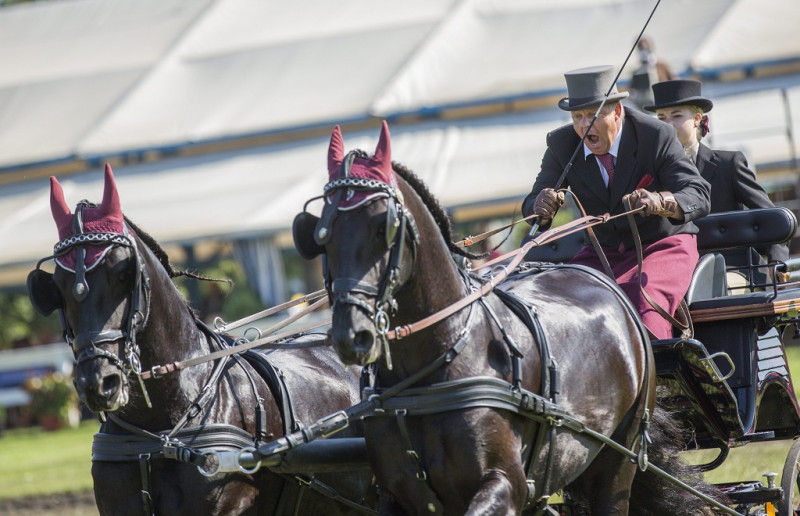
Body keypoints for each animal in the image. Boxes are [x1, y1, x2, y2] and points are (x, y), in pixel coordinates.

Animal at [292, 121, 724, 515]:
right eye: (322, 235)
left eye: (384, 226)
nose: (352, 335)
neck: (438, 362)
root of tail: (603, 280)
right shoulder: (403, 496)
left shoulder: (505, 484)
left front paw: (650, 198)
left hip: (619, 459)